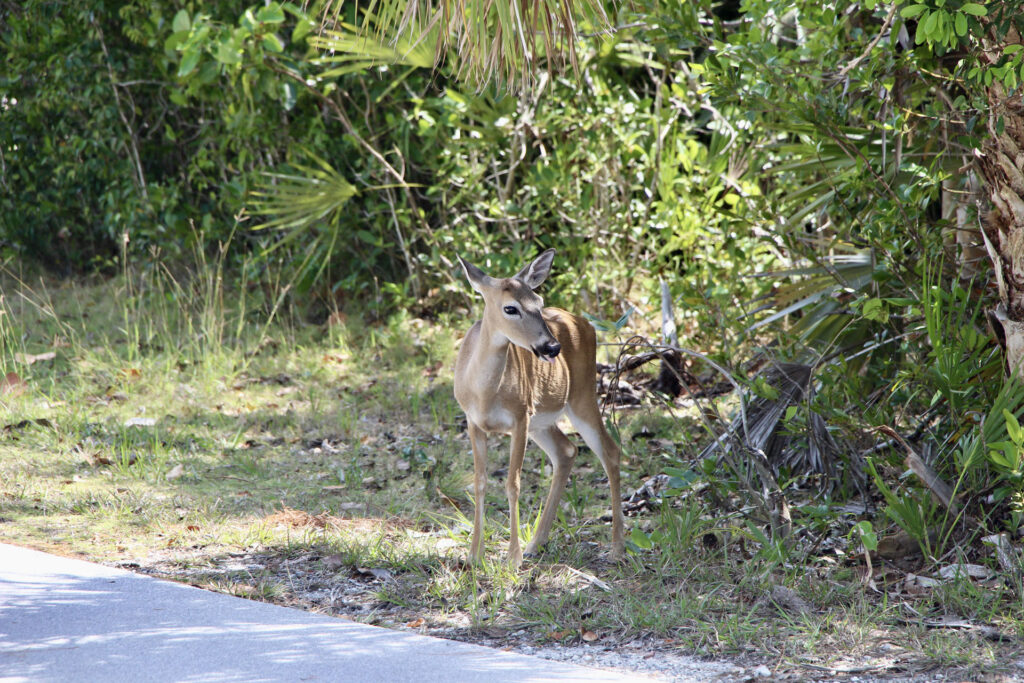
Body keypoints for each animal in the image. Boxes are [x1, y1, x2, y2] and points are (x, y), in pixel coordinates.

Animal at [454, 248, 622, 569]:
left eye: (539, 302)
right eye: (510, 308)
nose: (552, 347)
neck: (485, 393)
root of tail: (583, 322)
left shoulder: (520, 416)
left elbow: (513, 483)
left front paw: (512, 557)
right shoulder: (473, 421)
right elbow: (479, 482)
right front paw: (474, 556)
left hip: (581, 395)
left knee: (610, 451)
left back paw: (617, 547)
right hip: (543, 420)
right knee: (567, 450)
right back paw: (537, 543)